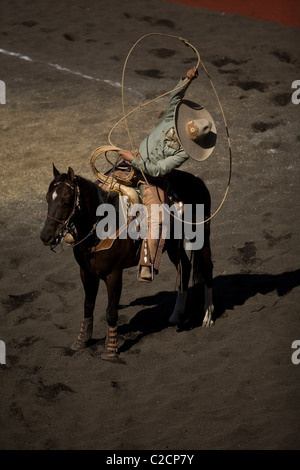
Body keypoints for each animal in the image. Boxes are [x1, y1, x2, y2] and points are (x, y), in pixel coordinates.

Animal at [40, 165, 213, 360]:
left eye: (67, 202)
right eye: (48, 198)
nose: (46, 236)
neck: (102, 225)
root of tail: (197, 181)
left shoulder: (114, 274)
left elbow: (111, 312)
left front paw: (110, 350)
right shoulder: (86, 272)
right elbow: (88, 306)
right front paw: (81, 340)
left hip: (202, 236)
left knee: (207, 268)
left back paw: (208, 316)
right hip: (172, 247)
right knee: (185, 267)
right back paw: (176, 315)